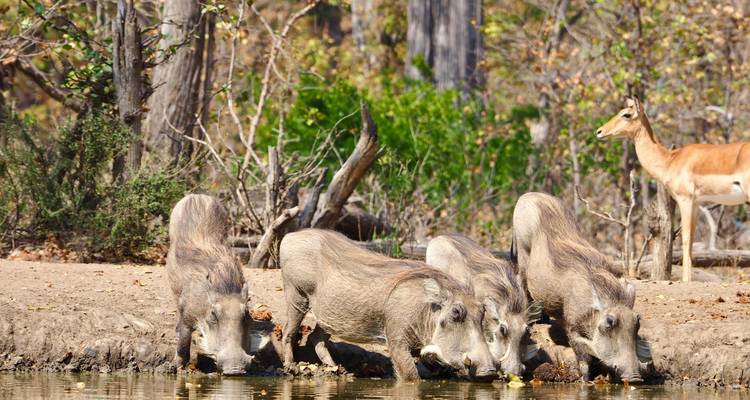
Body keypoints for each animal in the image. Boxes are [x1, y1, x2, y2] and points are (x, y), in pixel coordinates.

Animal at [596, 97, 750, 282]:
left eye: (626, 114)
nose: (599, 131)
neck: (670, 160)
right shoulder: (696, 203)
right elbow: (691, 240)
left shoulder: (685, 200)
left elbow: (686, 239)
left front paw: (686, 280)